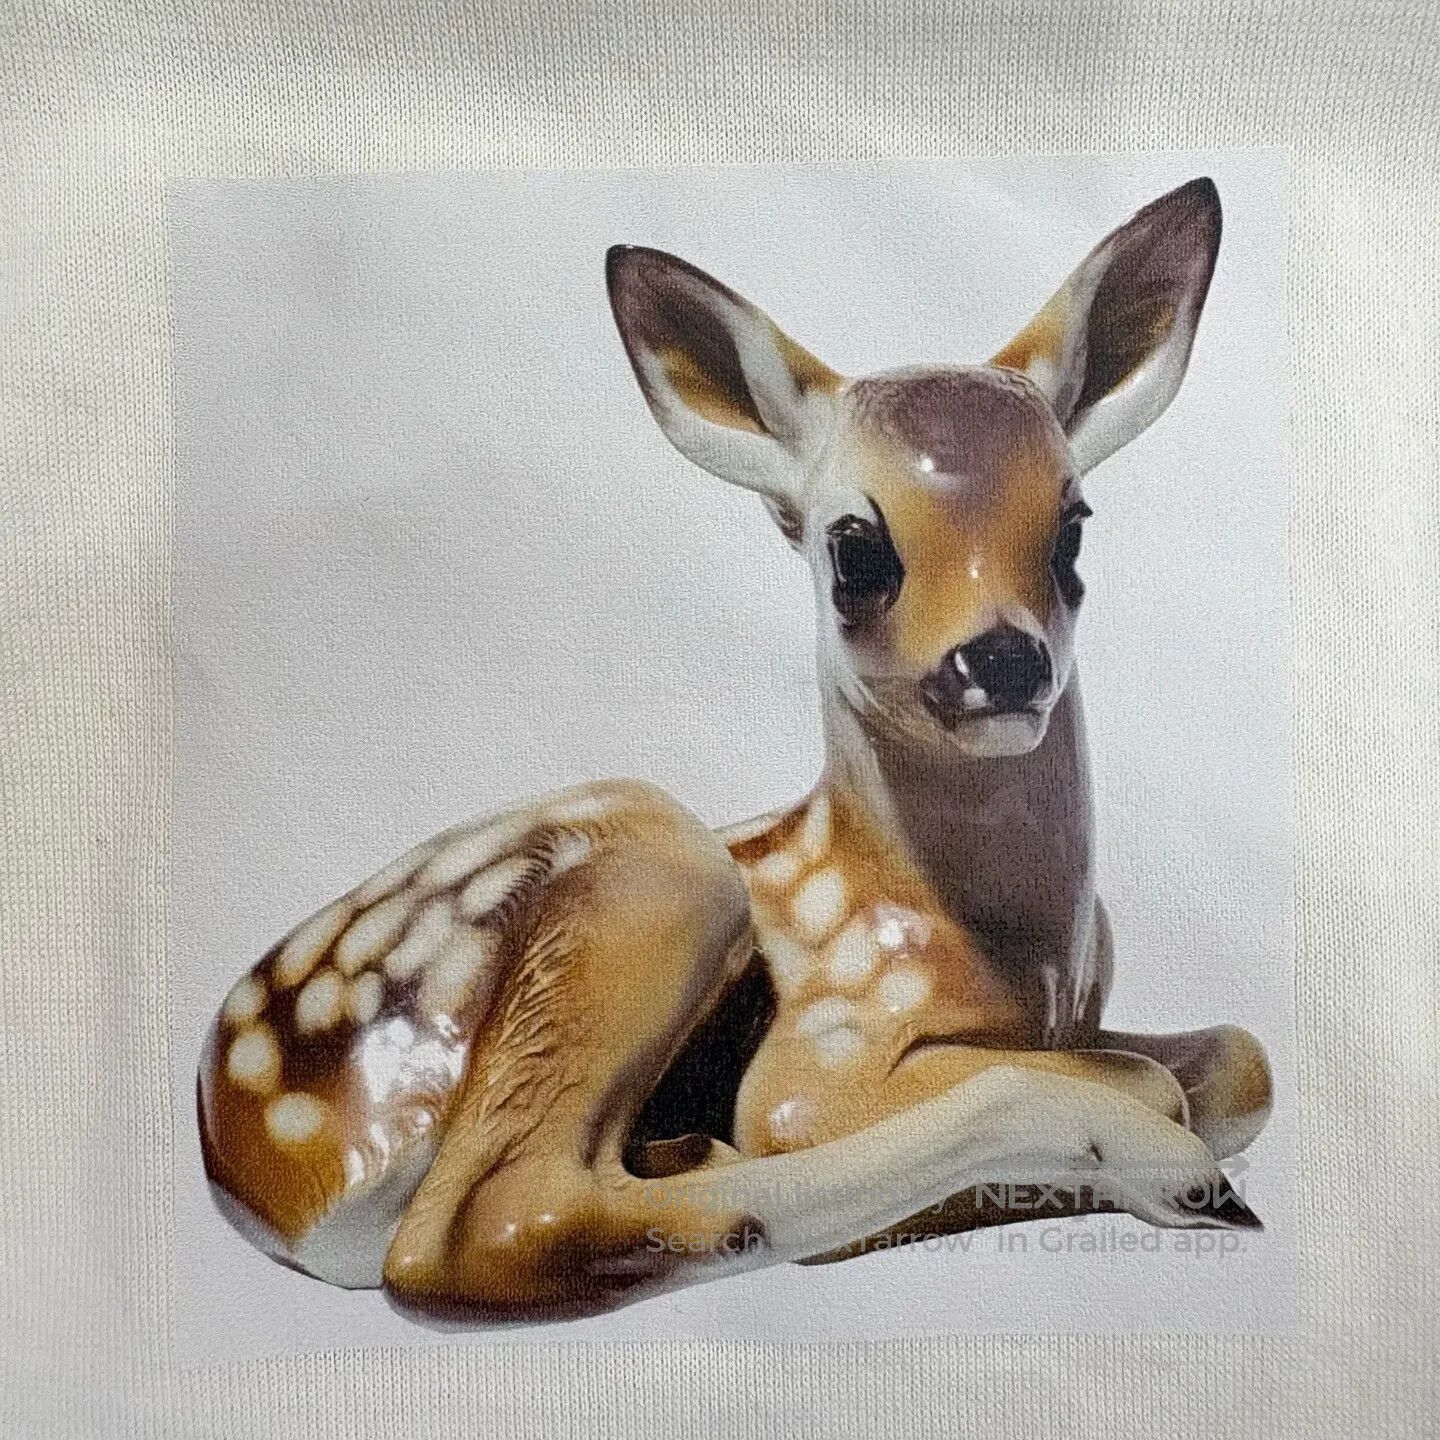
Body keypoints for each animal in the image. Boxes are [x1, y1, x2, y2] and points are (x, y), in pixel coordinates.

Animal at [198, 177, 1273, 1325]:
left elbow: (1241, 1059)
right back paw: (1173, 1178)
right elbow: (1106, 1082)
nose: (1002, 659)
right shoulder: (820, 1061)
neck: (1020, 965)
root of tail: (252, 1175)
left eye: (1073, 524)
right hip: (657, 869)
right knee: (485, 1230)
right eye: (856, 547)